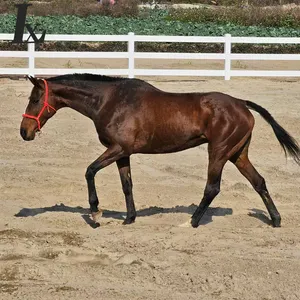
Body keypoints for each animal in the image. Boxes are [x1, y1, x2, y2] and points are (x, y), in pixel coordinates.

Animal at [19, 74, 298, 227]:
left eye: (34, 99)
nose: (25, 132)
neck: (109, 101)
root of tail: (242, 104)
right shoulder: (123, 153)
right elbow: (127, 185)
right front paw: (129, 218)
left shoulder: (117, 148)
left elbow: (89, 171)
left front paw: (95, 213)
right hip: (238, 154)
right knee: (258, 182)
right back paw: (275, 219)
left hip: (219, 152)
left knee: (212, 188)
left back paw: (191, 222)